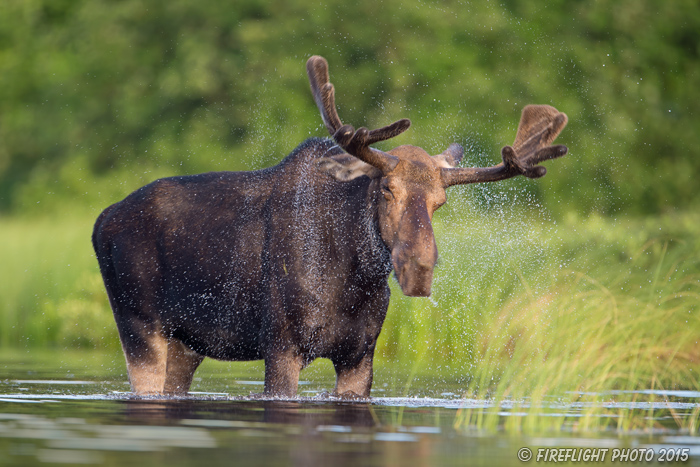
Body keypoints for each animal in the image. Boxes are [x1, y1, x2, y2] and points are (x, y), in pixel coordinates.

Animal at [91, 55, 568, 398]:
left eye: (440, 201)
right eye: (387, 189)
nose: (419, 268)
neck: (353, 276)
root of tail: (102, 220)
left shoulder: (360, 355)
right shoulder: (281, 346)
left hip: (187, 344)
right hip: (138, 325)